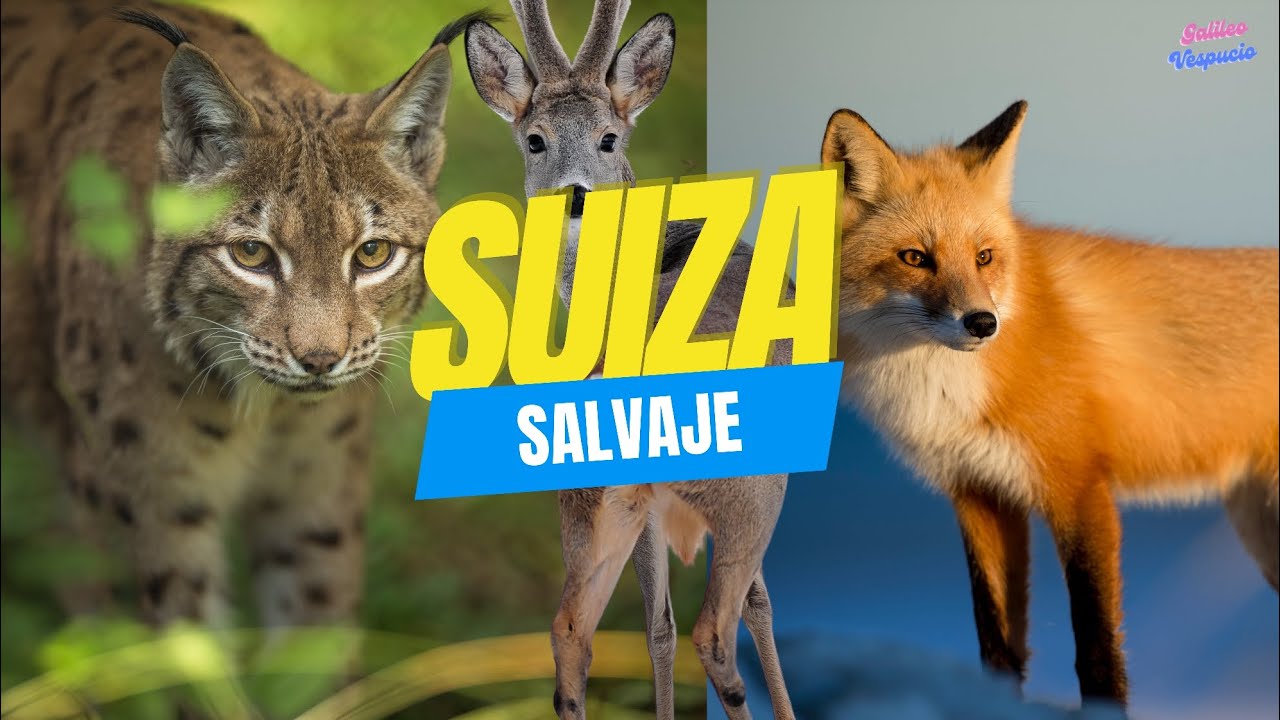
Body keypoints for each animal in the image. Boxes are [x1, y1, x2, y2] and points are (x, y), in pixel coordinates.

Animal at [822, 100, 1279, 707]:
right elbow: (996, 643)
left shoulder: (1080, 488)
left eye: (984, 257)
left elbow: (1096, 648)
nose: (982, 323)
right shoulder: (980, 494)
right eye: (915, 257)